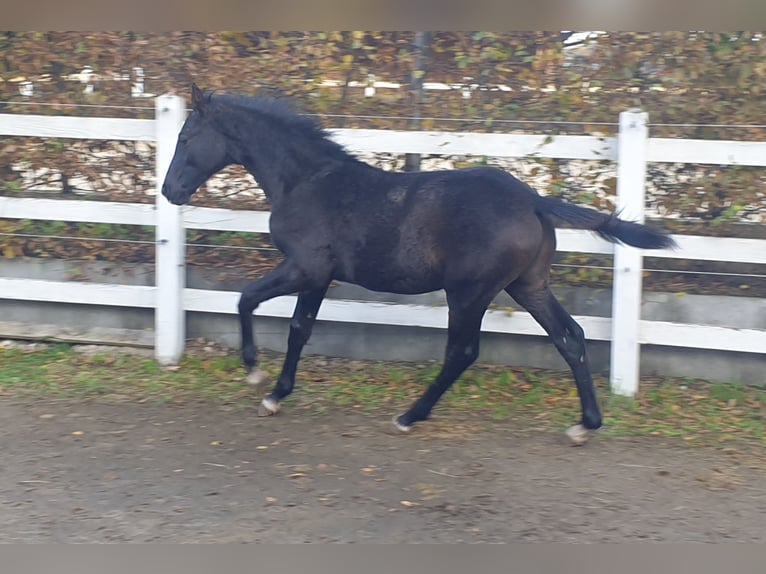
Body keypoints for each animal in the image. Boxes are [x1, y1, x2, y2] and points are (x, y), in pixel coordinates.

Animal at [162, 84, 680, 446]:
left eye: (186, 138)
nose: (169, 191)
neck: (308, 181)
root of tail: (532, 200)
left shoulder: (307, 268)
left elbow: (257, 306)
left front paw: (260, 380)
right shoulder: (317, 276)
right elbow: (292, 324)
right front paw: (270, 389)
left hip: (469, 292)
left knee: (462, 352)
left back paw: (409, 416)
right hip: (528, 286)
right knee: (570, 337)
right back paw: (584, 425)